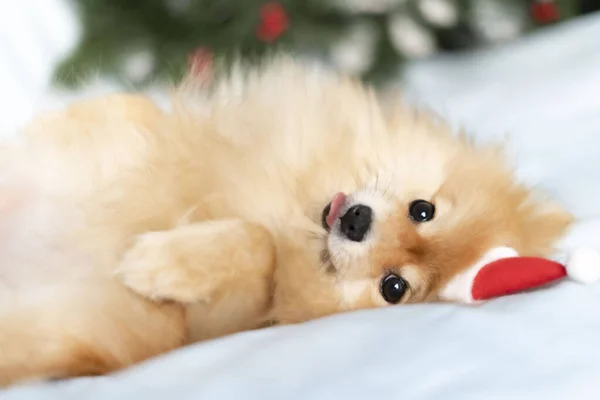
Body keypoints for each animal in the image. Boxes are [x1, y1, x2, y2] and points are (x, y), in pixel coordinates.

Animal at [0, 57, 572, 386]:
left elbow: (258, 249)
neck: (293, 211)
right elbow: (132, 110)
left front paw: (156, 263)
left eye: (394, 288)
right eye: (422, 210)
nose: (357, 221)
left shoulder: (203, 325)